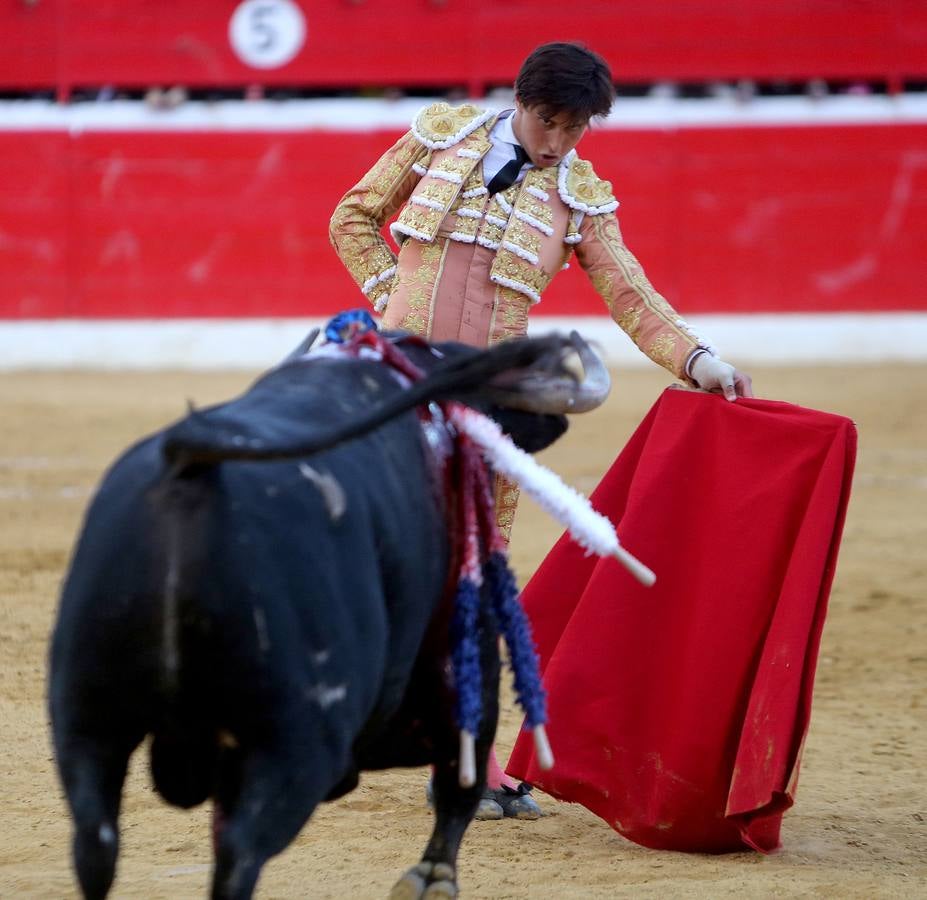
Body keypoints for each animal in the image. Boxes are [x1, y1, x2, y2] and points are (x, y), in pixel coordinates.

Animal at [49, 330, 608, 900]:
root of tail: (189, 464)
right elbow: (461, 773)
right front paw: (432, 876)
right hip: (298, 740)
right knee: (240, 853)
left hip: (85, 717)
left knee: (95, 843)